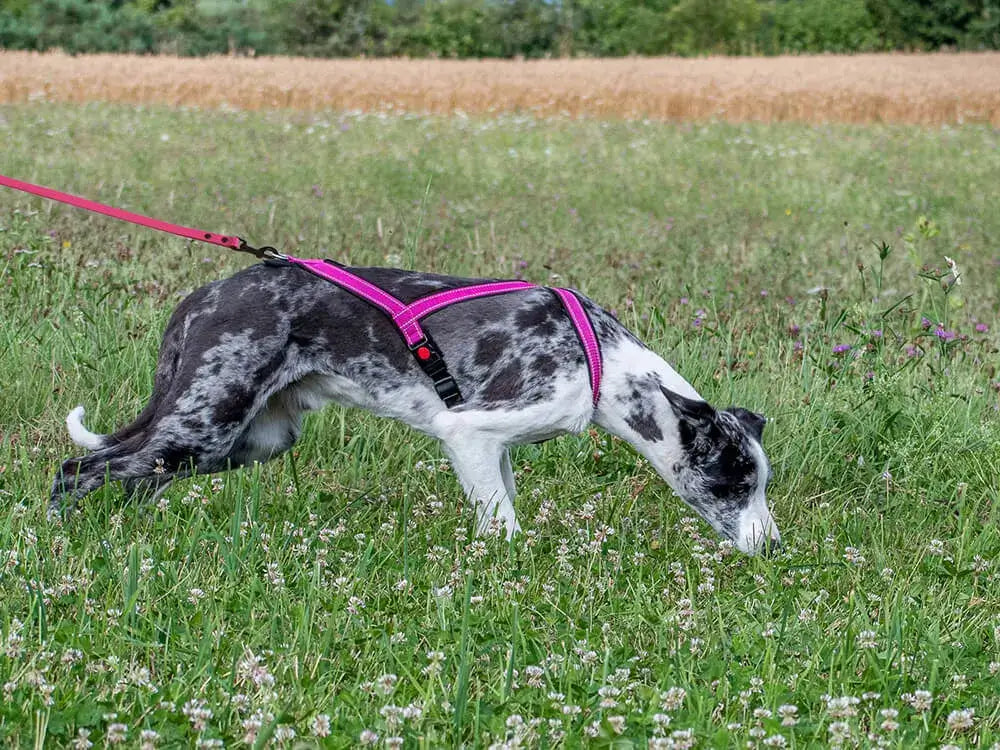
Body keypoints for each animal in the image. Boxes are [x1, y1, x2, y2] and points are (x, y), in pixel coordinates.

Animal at [50, 262, 780, 556]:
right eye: (733, 481)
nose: (773, 550)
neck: (601, 359)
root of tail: (201, 297)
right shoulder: (468, 430)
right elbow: (504, 532)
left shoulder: (493, 452)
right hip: (206, 422)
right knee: (76, 471)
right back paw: (57, 539)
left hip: (242, 440)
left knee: (135, 479)